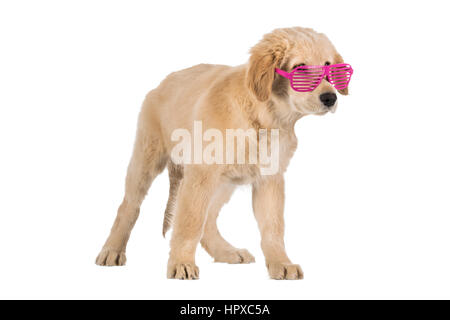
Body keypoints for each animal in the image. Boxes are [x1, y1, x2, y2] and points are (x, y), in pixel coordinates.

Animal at [96, 26, 352, 278]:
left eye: (329, 66)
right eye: (300, 68)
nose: (330, 98)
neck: (265, 116)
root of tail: (162, 82)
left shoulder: (269, 178)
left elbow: (273, 226)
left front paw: (281, 262)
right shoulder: (200, 174)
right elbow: (189, 222)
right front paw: (181, 263)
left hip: (224, 182)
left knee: (209, 221)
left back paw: (226, 252)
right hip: (148, 157)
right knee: (129, 206)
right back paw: (112, 250)